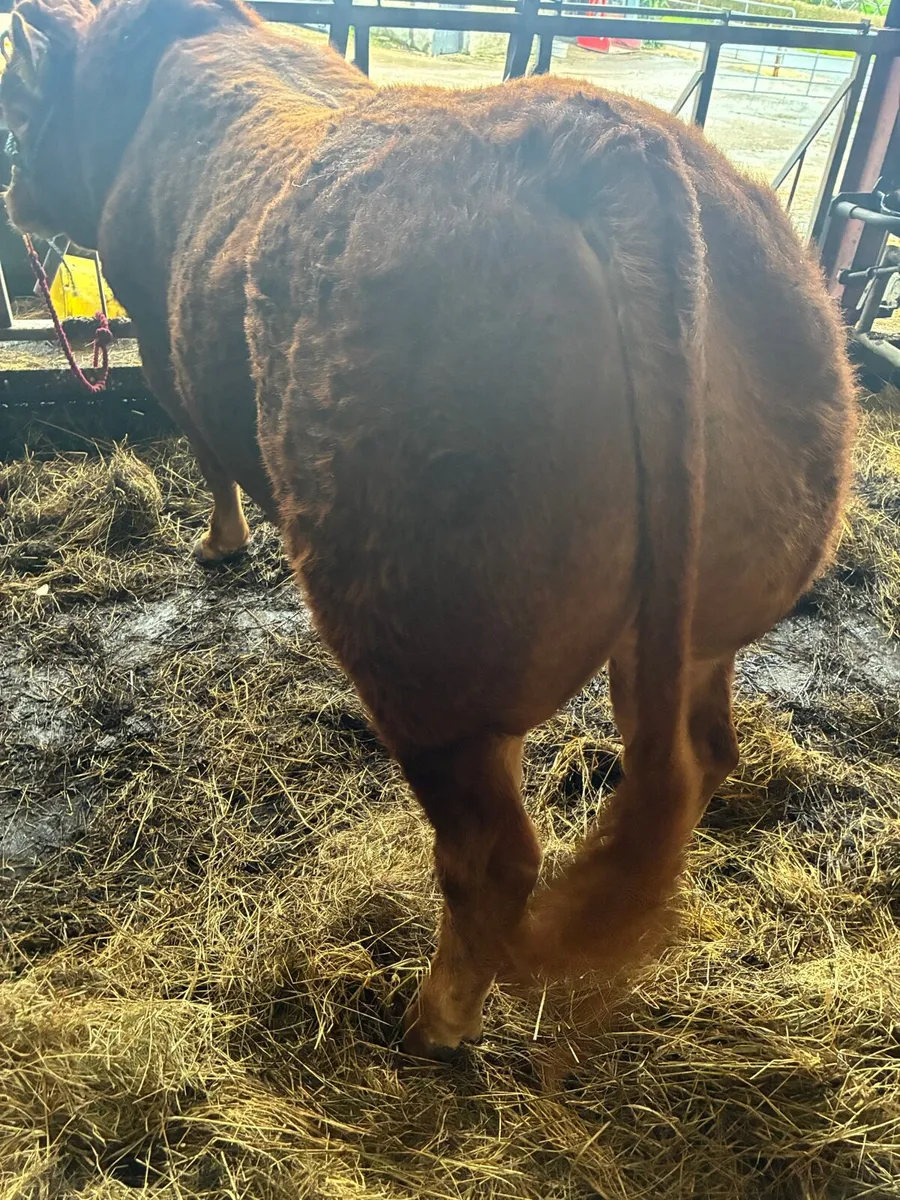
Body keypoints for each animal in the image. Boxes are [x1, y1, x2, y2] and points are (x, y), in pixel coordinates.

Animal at [1, 0, 856, 1059]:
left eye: (21, 96)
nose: (17, 197)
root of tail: (610, 149)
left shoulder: (166, 354)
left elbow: (207, 456)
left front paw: (220, 543)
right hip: (712, 609)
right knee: (701, 756)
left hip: (428, 648)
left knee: (491, 855)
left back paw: (431, 1023)